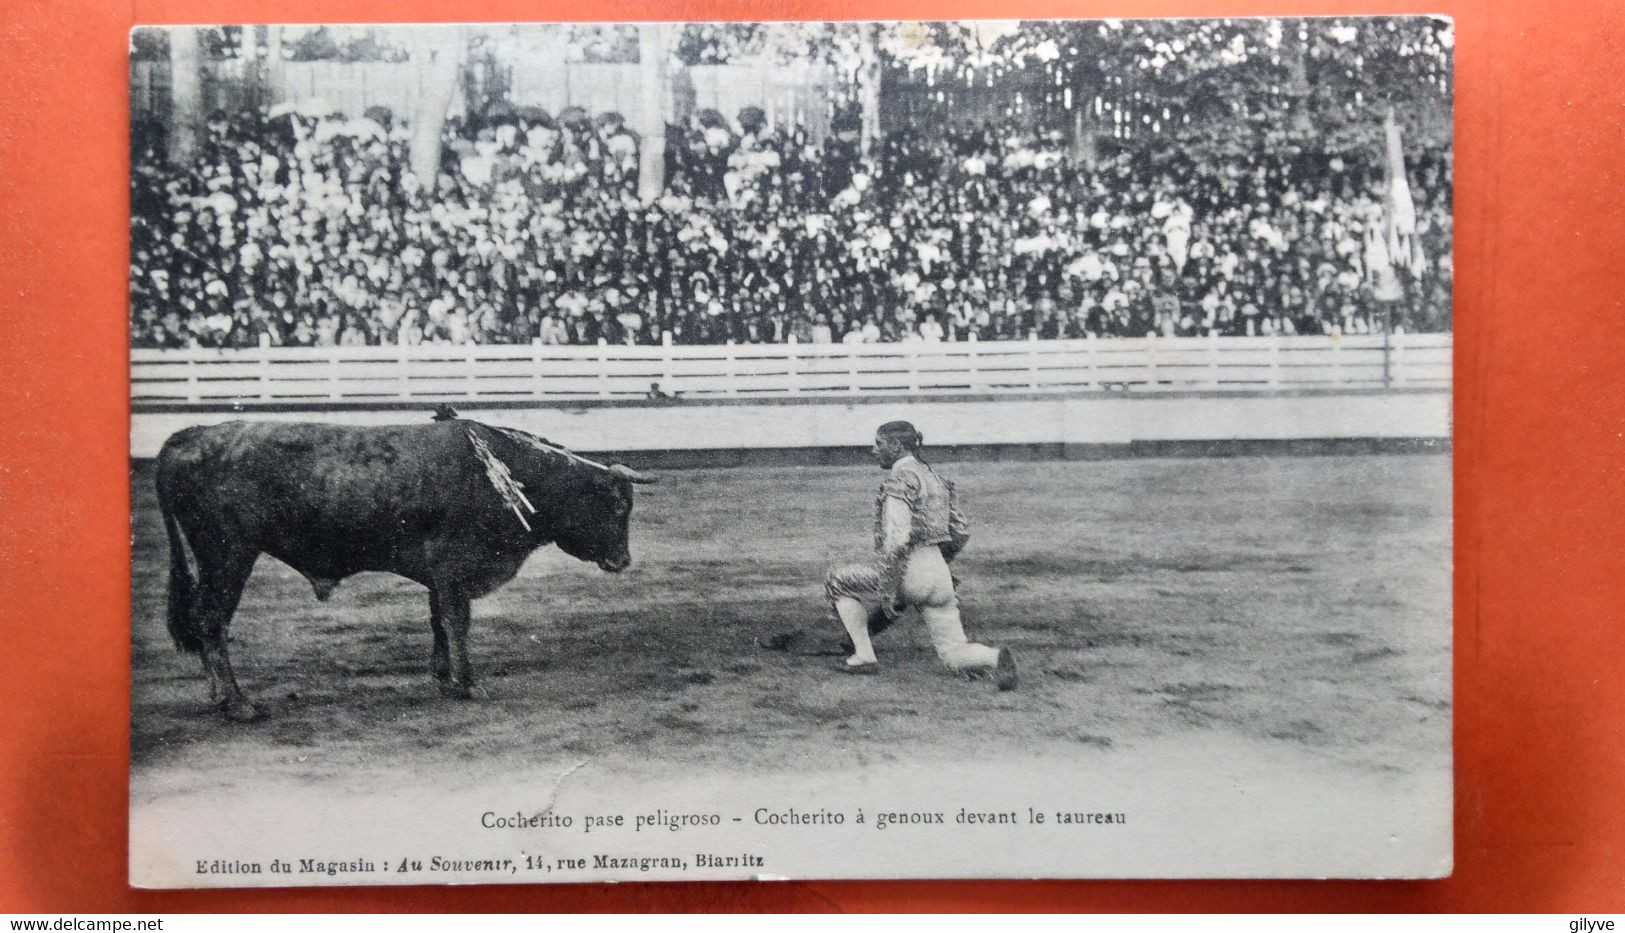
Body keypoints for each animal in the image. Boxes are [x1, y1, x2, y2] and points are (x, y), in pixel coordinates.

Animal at [155, 419, 653, 724]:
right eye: (617, 505)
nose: (622, 561)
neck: (508, 476)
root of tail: (190, 436)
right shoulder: (454, 568)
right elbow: (456, 622)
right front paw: (469, 684)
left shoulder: (440, 575)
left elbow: (438, 621)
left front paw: (444, 679)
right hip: (228, 556)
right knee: (210, 621)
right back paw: (237, 703)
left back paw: (220, 697)